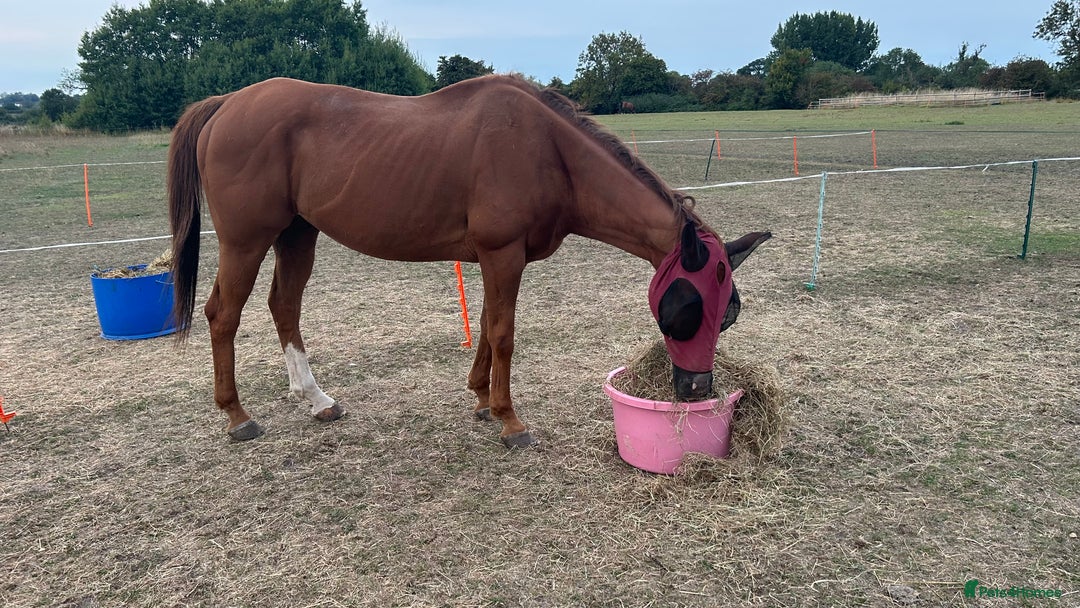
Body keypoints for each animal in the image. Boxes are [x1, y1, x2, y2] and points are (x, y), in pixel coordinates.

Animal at [168, 75, 770, 447]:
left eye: (729, 314)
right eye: (686, 309)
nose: (697, 390)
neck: (549, 152)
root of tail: (227, 103)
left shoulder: (493, 258)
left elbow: (485, 324)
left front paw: (482, 399)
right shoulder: (503, 255)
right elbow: (503, 332)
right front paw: (509, 419)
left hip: (297, 236)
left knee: (284, 307)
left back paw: (317, 401)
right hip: (246, 241)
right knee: (224, 315)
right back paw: (237, 416)